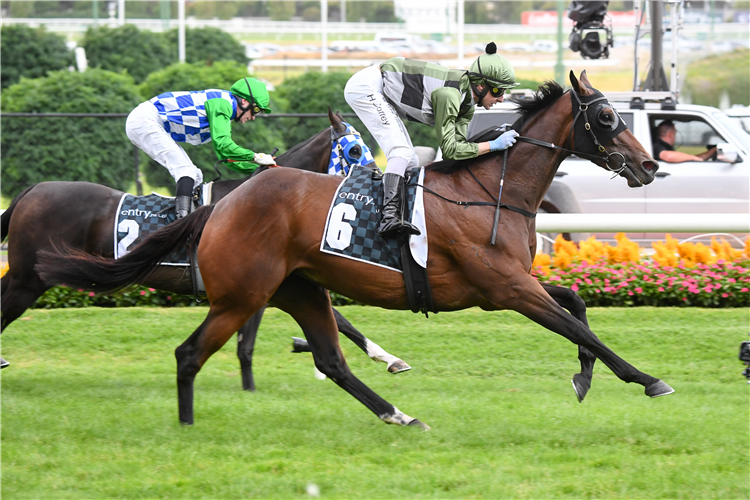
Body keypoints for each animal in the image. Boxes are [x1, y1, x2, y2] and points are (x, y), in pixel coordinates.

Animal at [1, 110, 412, 386]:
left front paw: (390, 358)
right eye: (355, 149)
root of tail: (32, 190)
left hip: (27, 275)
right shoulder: (258, 281)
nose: (379, 178)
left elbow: (340, 321)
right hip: (27, 279)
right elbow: (257, 341)